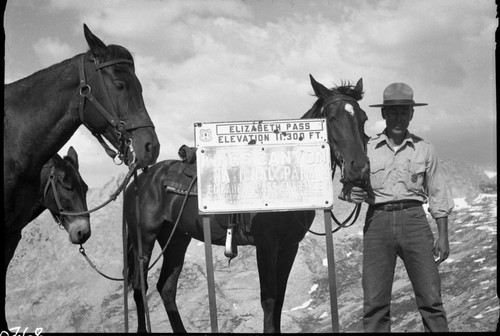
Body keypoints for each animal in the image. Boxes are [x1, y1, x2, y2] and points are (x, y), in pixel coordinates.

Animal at [125, 74, 372, 334]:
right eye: (331, 118)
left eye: (364, 118)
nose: (359, 168)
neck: (282, 178)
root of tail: (139, 179)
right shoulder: (266, 245)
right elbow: (269, 299)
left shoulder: (289, 246)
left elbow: (279, 299)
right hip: (145, 238)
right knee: (140, 288)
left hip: (176, 239)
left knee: (166, 287)